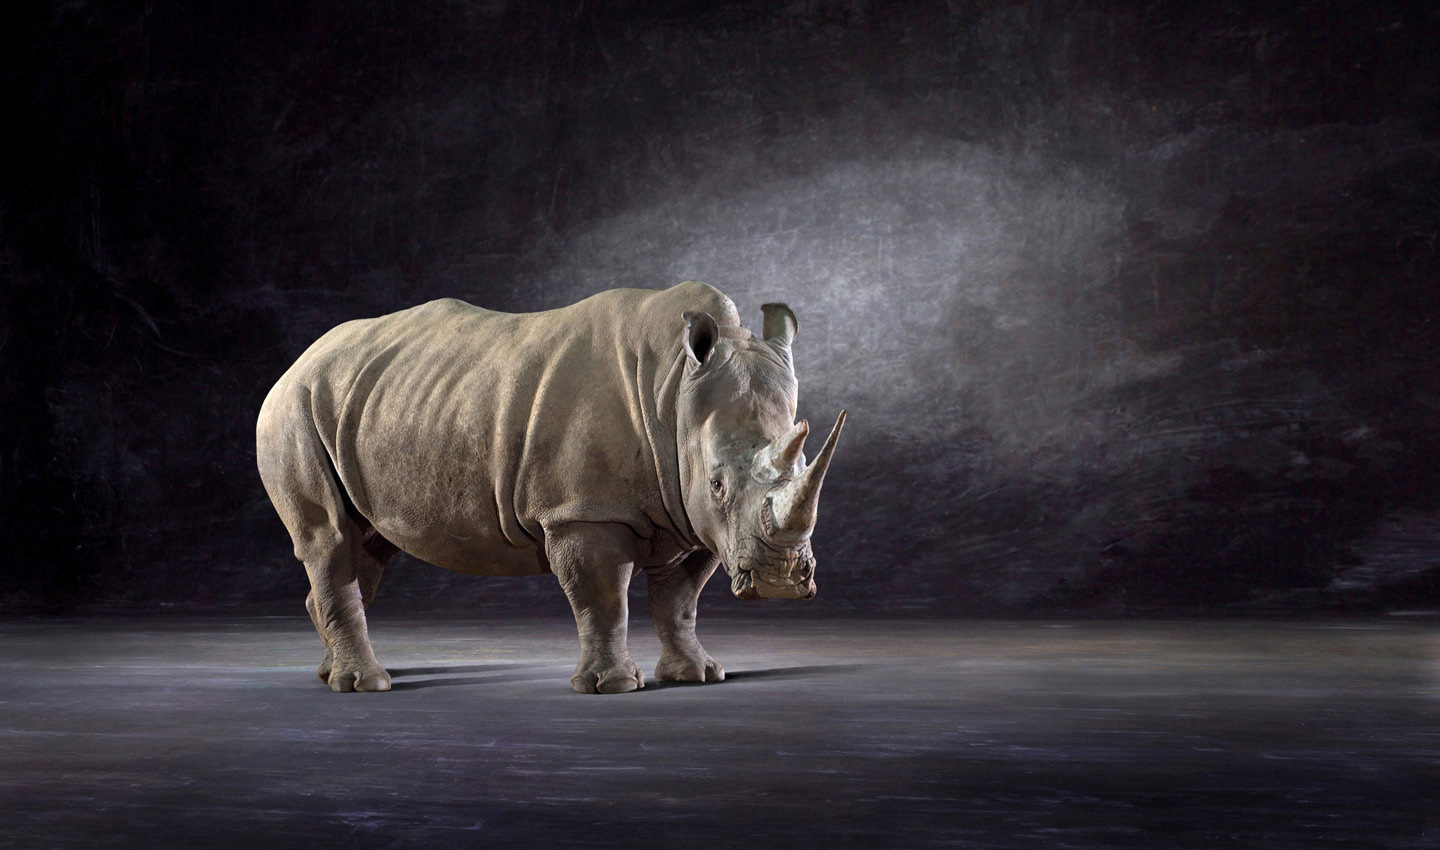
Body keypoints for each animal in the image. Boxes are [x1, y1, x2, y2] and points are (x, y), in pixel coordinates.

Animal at [256, 281, 846, 694]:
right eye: (719, 483)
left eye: (804, 466)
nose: (780, 582)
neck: (675, 393)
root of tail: (298, 360)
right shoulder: (583, 512)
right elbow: (602, 599)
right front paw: (614, 686)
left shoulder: (693, 516)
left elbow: (679, 603)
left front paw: (698, 675)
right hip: (294, 408)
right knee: (330, 539)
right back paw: (365, 685)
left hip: (367, 401)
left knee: (366, 546)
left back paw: (330, 673)